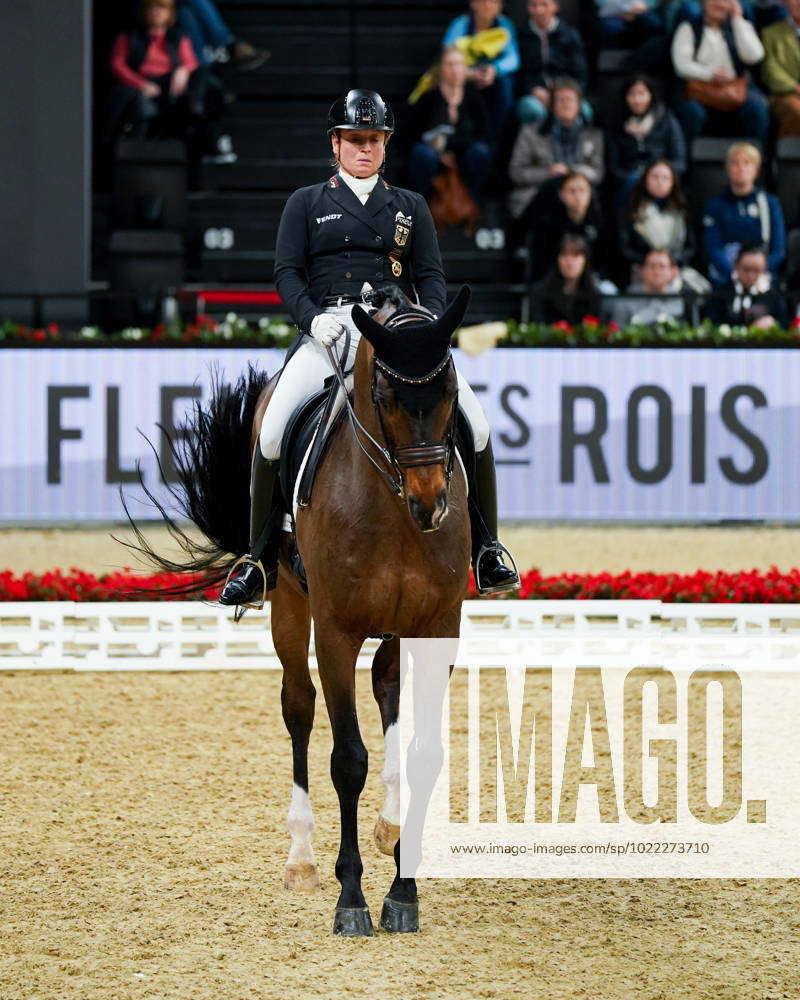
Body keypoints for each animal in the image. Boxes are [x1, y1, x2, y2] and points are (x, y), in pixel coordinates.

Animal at [126, 284, 468, 936]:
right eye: (385, 397)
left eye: (451, 392)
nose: (431, 504)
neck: (391, 508)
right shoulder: (334, 631)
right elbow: (347, 760)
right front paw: (351, 898)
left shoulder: (437, 628)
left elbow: (423, 753)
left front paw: (403, 891)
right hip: (288, 601)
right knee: (299, 707)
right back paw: (302, 858)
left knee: (386, 686)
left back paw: (389, 827)